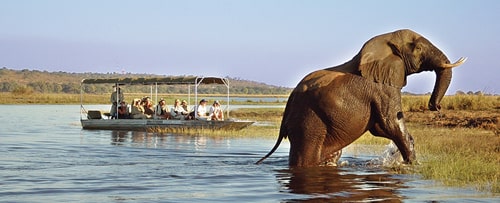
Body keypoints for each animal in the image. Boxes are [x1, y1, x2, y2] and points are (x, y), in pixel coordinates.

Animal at [256, 29, 466, 167]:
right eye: (419, 48)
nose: (435, 106)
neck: (385, 41)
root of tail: (289, 103)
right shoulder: (382, 88)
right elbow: (390, 124)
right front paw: (412, 165)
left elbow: (381, 127)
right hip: (308, 121)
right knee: (306, 156)